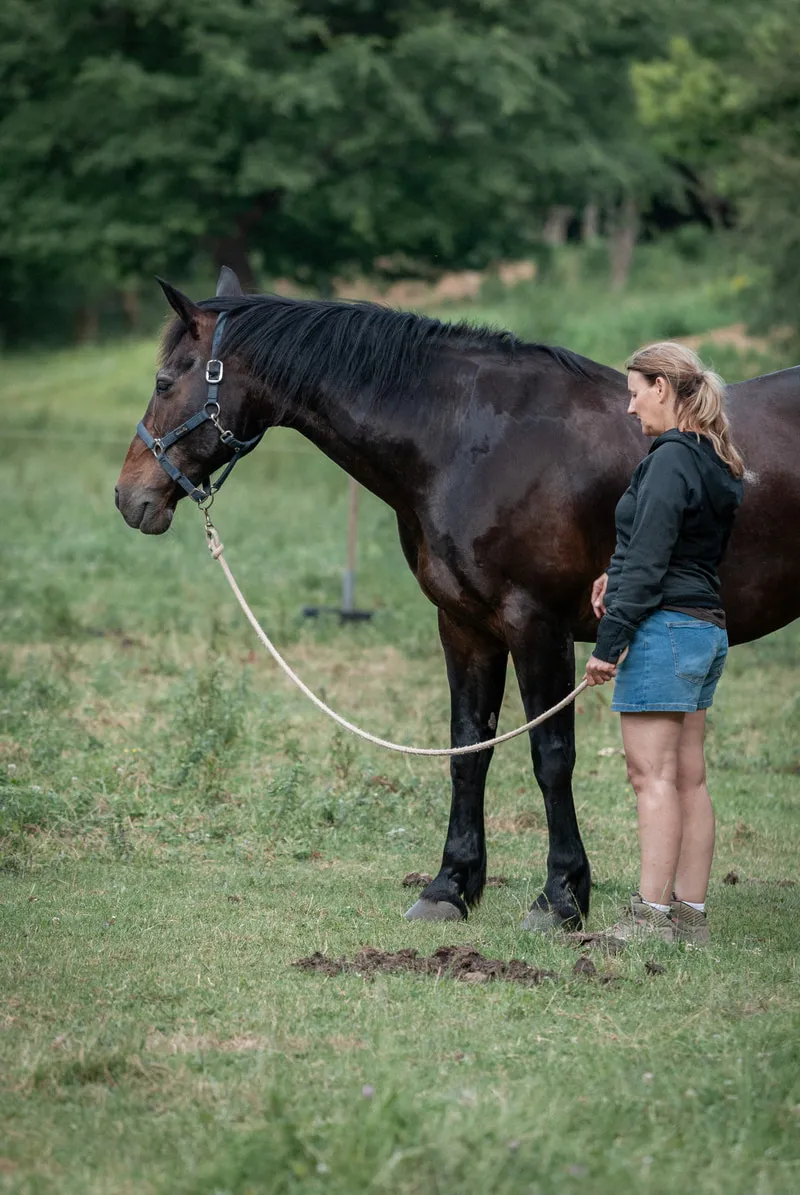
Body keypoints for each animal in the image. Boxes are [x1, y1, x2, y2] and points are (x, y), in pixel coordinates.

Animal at [115, 267, 800, 929]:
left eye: (165, 381)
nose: (129, 497)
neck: (468, 442)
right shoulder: (466, 627)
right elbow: (468, 751)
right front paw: (450, 887)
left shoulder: (538, 626)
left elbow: (551, 756)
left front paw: (560, 899)